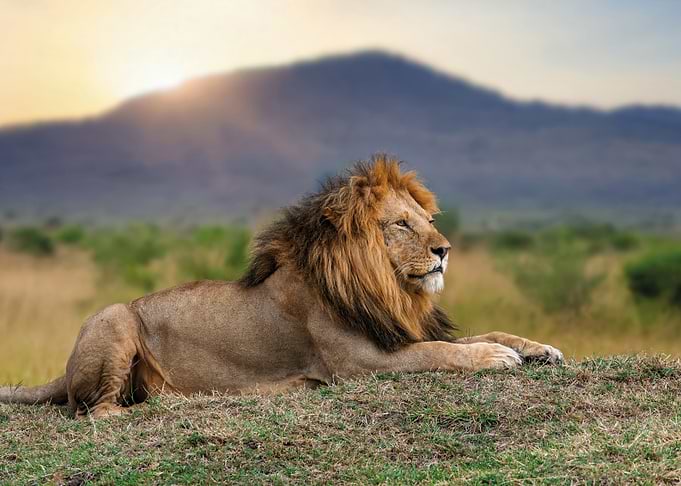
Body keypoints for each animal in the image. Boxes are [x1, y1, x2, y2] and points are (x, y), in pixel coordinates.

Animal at [0, 155, 562, 418]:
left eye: (427, 220)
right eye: (402, 224)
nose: (445, 250)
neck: (387, 287)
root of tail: (64, 368)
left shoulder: (400, 331)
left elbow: (481, 334)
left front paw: (537, 348)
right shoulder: (358, 365)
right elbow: (442, 354)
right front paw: (496, 359)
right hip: (114, 315)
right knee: (95, 412)